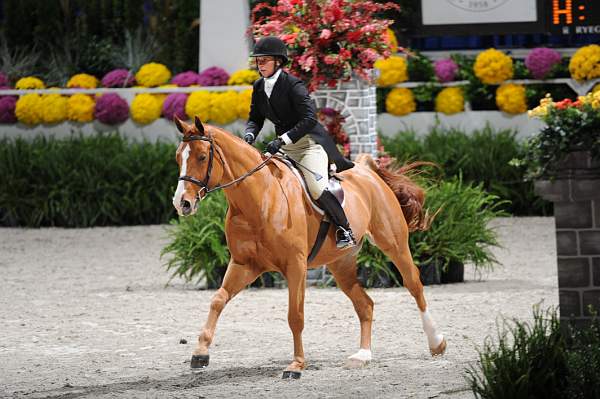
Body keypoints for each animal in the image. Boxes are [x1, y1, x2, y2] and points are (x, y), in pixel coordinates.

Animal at [171, 117, 442, 380]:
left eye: (202, 157)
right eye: (178, 158)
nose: (182, 203)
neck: (259, 198)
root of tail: (366, 170)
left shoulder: (296, 266)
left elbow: (295, 316)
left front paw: (296, 365)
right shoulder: (245, 265)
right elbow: (218, 300)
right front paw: (200, 353)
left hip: (393, 244)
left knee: (414, 284)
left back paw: (436, 342)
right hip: (341, 263)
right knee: (365, 304)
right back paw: (362, 355)